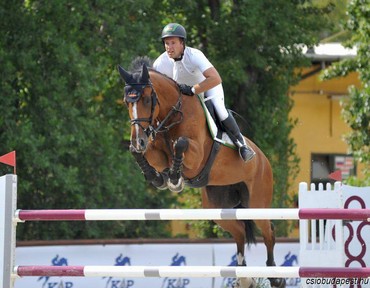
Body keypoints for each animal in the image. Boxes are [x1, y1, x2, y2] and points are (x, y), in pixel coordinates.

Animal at [118, 58, 286, 288]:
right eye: (127, 102)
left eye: (145, 99)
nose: (138, 139)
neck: (172, 115)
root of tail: (263, 158)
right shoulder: (155, 150)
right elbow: (142, 155)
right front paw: (158, 176)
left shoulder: (196, 155)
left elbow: (180, 144)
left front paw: (174, 178)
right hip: (217, 206)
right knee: (240, 231)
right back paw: (244, 277)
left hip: (257, 202)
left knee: (269, 232)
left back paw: (275, 276)